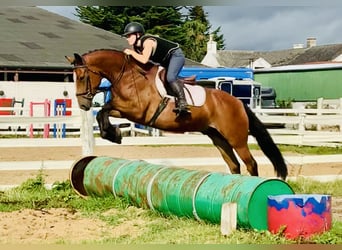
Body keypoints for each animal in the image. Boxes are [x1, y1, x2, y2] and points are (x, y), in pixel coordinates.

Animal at [65, 49, 288, 180]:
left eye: (82, 76)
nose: (83, 104)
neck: (127, 74)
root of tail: (238, 103)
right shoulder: (124, 109)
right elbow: (104, 111)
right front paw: (111, 133)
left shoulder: (136, 111)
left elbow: (105, 108)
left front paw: (113, 133)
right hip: (218, 138)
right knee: (234, 164)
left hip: (236, 138)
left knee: (251, 163)